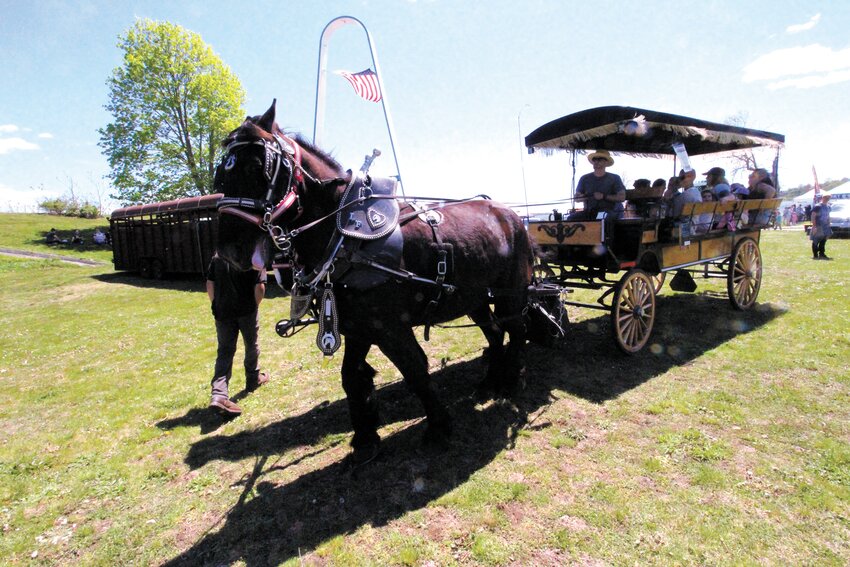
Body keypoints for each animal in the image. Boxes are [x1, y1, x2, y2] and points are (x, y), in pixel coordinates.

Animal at [212, 102, 528, 464]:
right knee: (495, 332)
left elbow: (415, 371)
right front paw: (365, 438)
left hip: (513, 292)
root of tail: (509, 213)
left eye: (258, 169)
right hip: (474, 297)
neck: (345, 237)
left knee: (516, 329)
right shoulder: (357, 326)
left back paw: (513, 379)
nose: (229, 250)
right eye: (221, 174)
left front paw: (437, 427)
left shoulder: (391, 328)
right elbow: (351, 377)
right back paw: (491, 381)